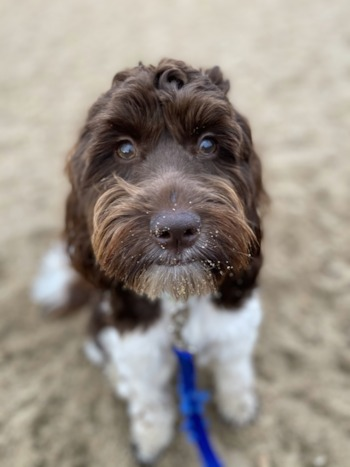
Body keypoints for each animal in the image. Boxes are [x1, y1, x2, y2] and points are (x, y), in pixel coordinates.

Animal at [32, 58, 266, 464]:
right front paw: (151, 436)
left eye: (208, 143)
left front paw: (238, 404)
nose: (176, 229)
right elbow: (147, 399)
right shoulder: (136, 344)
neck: (178, 302)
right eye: (124, 149)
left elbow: (234, 368)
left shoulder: (236, 324)